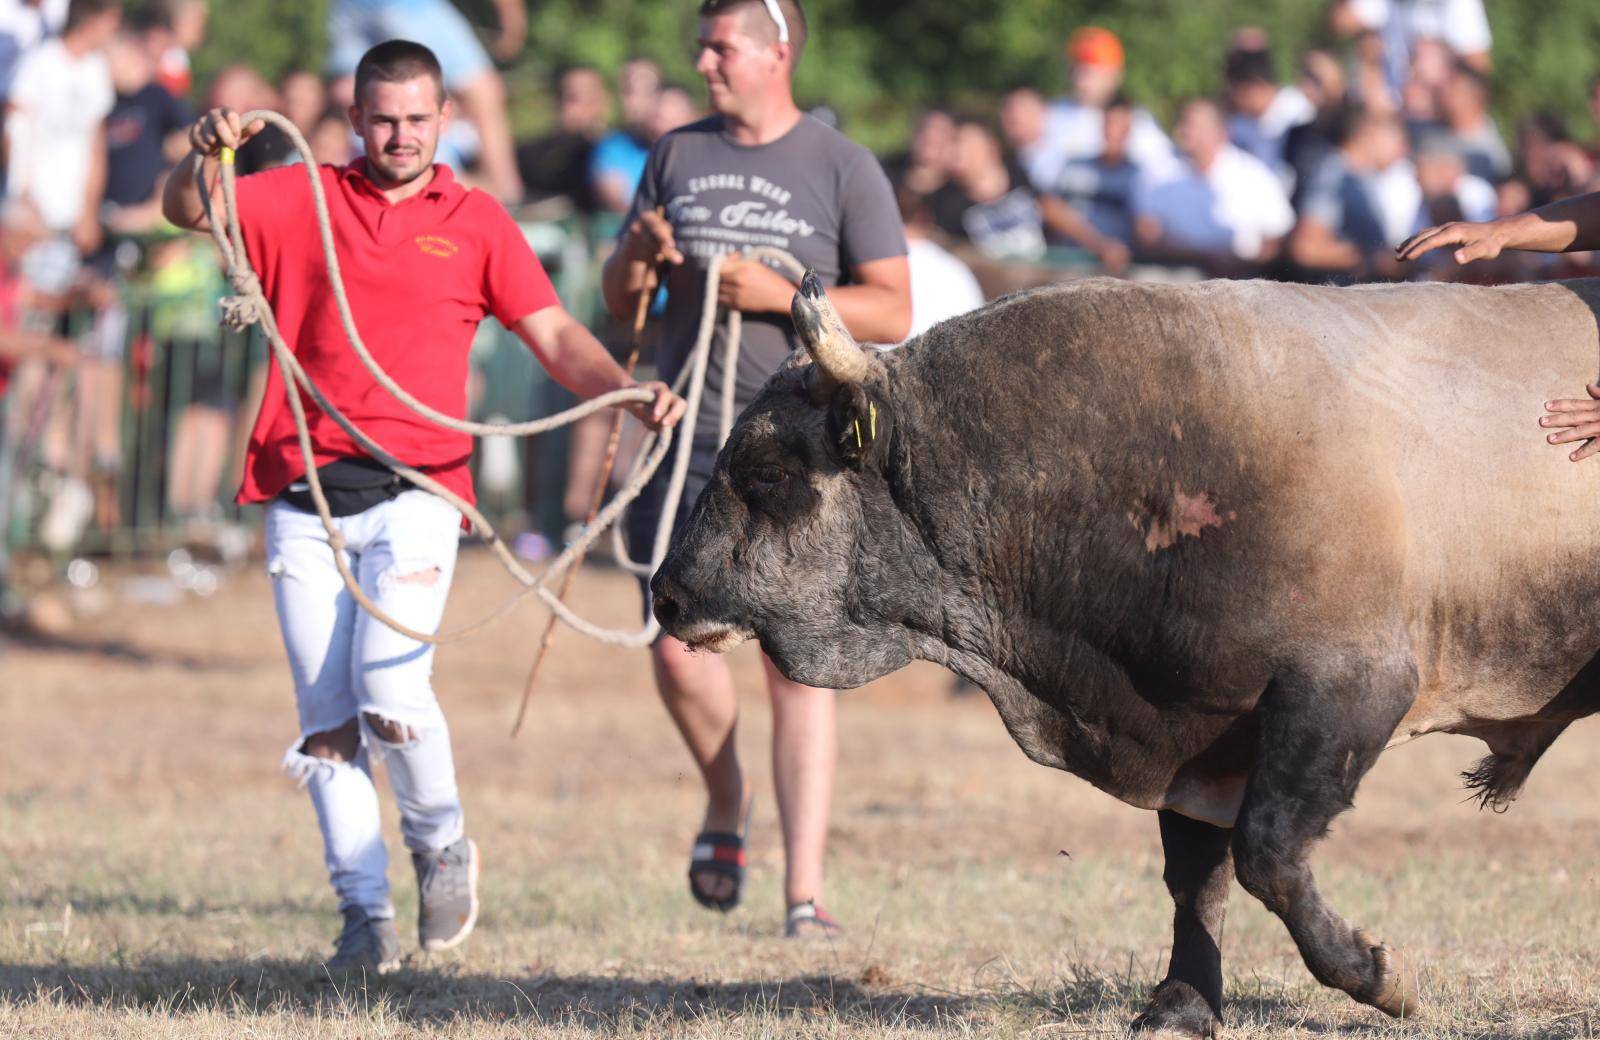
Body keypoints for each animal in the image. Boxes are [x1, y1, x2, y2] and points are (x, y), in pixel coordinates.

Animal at [646, 272, 1600, 1030]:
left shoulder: (1345, 690)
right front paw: (1182, 1003)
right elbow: (1197, 877)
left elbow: (1267, 853)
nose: (666, 594)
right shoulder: (1199, 730)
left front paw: (1375, 975)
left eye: (768, 474)